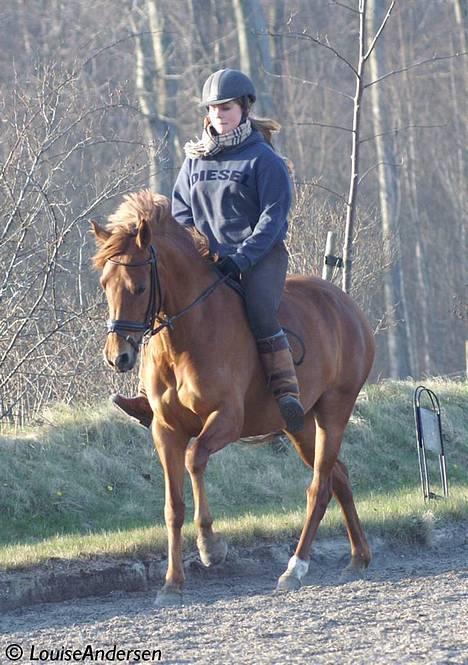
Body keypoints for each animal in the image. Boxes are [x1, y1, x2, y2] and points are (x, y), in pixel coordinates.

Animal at [93, 188, 374, 608]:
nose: (118, 356)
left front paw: (211, 546)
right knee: (338, 476)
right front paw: (172, 584)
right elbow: (173, 507)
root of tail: (348, 307)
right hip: (298, 425)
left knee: (319, 487)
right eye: (104, 284)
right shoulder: (166, 431)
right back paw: (358, 558)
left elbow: (195, 459)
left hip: (334, 412)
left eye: (139, 287)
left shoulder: (226, 419)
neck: (184, 339)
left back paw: (295, 569)